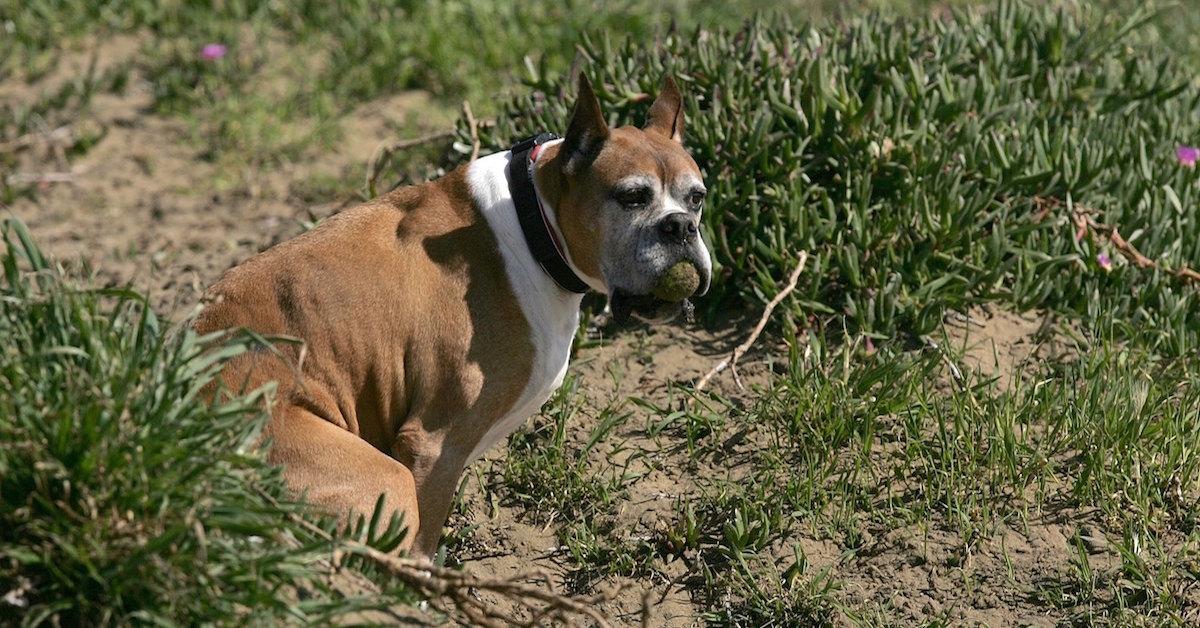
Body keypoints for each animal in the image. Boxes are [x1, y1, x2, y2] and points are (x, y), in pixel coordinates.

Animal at [196, 73, 710, 559]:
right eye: (632, 197)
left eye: (697, 197)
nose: (680, 226)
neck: (533, 222)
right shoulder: (432, 447)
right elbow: (423, 541)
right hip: (385, 482)